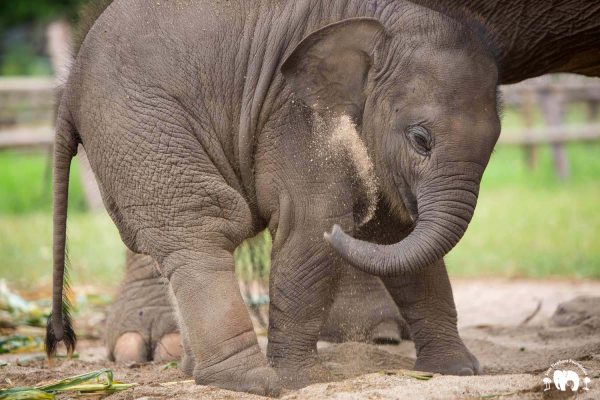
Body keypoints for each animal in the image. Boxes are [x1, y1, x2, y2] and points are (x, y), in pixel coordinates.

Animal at [48, 0, 502, 396]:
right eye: (420, 139)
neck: (378, 22)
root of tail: (67, 90)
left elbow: (397, 239)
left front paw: (457, 370)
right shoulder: (294, 115)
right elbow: (311, 225)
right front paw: (306, 382)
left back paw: (198, 373)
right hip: (139, 126)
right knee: (200, 230)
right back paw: (255, 382)